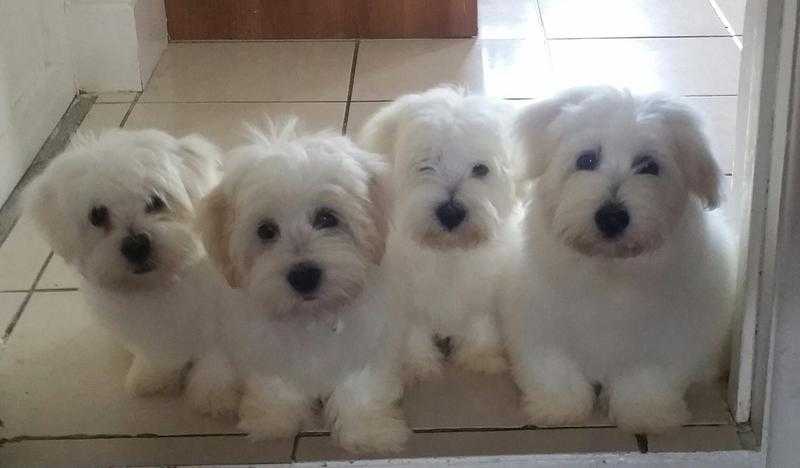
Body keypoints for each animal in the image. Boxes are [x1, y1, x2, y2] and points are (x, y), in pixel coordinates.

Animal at [25, 129, 230, 398]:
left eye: (156, 201)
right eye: (97, 215)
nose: (136, 246)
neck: (160, 284)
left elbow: (216, 364)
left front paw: (214, 396)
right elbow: (159, 356)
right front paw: (152, 378)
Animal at [199, 121, 410, 454]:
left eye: (327, 217)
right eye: (266, 230)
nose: (304, 276)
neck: (312, 317)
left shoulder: (369, 337)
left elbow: (360, 387)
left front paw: (368, 432)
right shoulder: (260, 342)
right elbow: (274, 382)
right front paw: (273, 419)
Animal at [360, 88, 520, 380]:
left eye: (480, 169)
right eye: (425, 165)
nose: (451, 213)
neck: (448, 253)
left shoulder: (485, 288)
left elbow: (480, 318)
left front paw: (481, 355)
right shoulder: (406, 293)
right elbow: (413, 327)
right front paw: (418, 363)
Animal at [500, 86, 736, 434]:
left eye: (649, 166)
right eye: (586, 159)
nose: (612, 217)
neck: (609, 269)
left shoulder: (666, 335)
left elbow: (647, 377)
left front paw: (647, 414)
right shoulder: (540, 325)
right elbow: (555, 369)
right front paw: (558, 408)